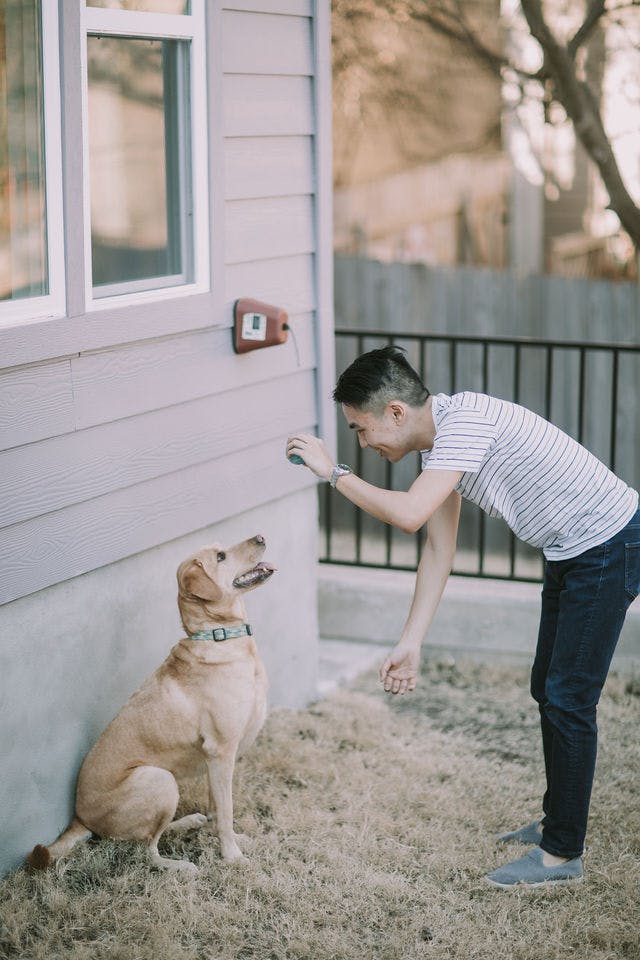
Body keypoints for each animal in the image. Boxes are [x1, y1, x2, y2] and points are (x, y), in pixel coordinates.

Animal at [26, 536, 276, 872]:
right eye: (221, 557)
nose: (261, 536)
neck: (219, 637)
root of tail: (79, 819)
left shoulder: (217, 761)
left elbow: (218, 806)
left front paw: (232, 840)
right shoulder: (221, 751)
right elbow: (226, 810)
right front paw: (232, 856)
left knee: (154, 833)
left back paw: (187, 823)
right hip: (159, 779)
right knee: (146, 850)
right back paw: (180, 866)